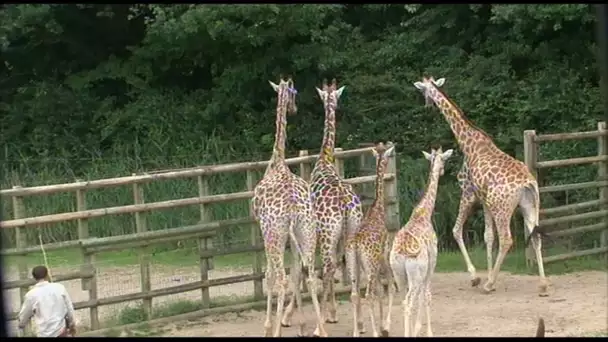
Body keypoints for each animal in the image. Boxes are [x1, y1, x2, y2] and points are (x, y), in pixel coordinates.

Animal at [252, 77, 328, 336]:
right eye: (294, 92)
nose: (294, 108)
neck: (278, 161)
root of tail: (294, 206)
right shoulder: (291, 235)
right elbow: (297, 270)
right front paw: (301, 324)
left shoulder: (264, 230)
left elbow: (269, 275)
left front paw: (268, 326)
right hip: (306, 229)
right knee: (311, 274)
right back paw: (320, 329)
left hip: (276, 233)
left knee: (281, 276)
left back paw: (274, 330)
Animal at [344, 141, 396, 336]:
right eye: (387, 157)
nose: (386, 162)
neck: (378, 209)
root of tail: (356, 244)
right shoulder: (384, 255)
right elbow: (389, 288)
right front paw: (385, 327)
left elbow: (381, 291)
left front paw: (382, 326)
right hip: (371, 265)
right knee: (369, 294)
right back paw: (373, 332)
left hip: (353, 265)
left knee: (355, 294)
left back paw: (356, 332)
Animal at [384, 147, 452, 336]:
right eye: (444, 160)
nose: (443, 171)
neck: (424, 213)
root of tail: (402, 253)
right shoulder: (432, 263)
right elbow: (427, 295)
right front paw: (426, 331)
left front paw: (417, 328)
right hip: (414, 275)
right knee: (409, 302)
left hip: (399, 274)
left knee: (401, 300)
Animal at [414, 76, 552, 296]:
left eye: (423, 90)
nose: (427, 104)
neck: (468, 143)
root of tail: (529, 183)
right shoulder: (484, 200)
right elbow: (488, 236)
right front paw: (487, 275)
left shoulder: (468, 193)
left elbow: (456, 230)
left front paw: (478, 278)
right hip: (529, 206)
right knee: (535, 236)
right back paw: (543, 285)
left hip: (502, 208)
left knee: (507, 239)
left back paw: (489, 285)